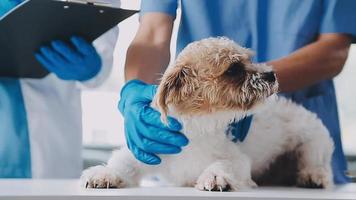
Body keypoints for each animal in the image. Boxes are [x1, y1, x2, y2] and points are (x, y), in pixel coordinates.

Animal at [80, 37, 334, 191]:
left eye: (250, 60)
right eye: (233, 69)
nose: (271, 74)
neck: (197, 129)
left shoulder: (236, 159)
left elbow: (223, 164)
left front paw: (215, 177)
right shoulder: (147, 151)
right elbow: (124, 164)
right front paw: (104, 174)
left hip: (314, 143)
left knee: (319, 165)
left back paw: (313, 177)